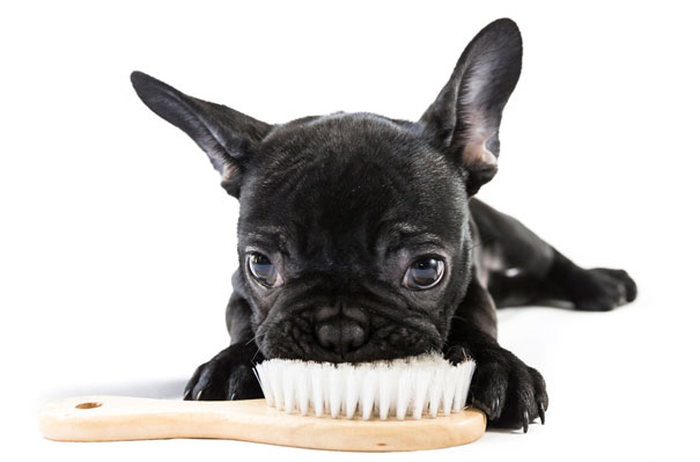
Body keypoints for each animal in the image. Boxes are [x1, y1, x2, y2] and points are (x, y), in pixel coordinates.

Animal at [130, 17, 636, 430]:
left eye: (426, 269)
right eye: (261, 266)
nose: (339, 330)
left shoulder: (471, 286)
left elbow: (475, 320)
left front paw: (498, 368)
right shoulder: (238, 291)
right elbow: (246, 325)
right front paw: (232, 364)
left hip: (512, 235)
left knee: (549, 258)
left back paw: (599, 284)